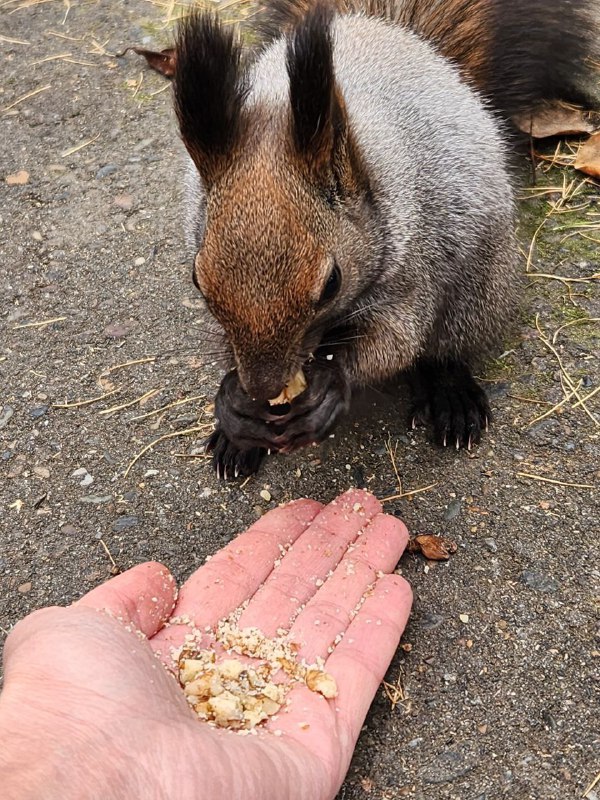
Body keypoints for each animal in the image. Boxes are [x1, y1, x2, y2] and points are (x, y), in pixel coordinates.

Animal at [171, 0, 596, 478]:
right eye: (197, 279)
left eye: (332, 284)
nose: (263, 387)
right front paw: (233, 409)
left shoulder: (411, 271)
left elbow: (394, 343)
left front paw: (331, 384)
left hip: (479, 286)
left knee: (446, 347)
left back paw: (451, 396)